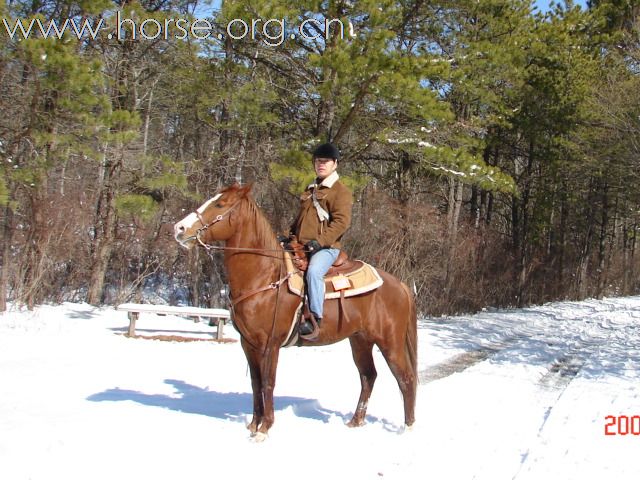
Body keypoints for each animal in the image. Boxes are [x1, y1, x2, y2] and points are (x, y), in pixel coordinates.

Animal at [172, 184, 418, 438]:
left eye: (220, 204)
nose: (179, 228)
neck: (264, 275)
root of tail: (400, 285)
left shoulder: (269, 344)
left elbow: (268, 382)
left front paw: (264, 429)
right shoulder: (248, 343)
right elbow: (255, 384)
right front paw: (253, 426)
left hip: (390, 343)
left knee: (406, 378)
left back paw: (408, 428)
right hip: (360, 341)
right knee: (368, 376)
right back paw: (355, 421)